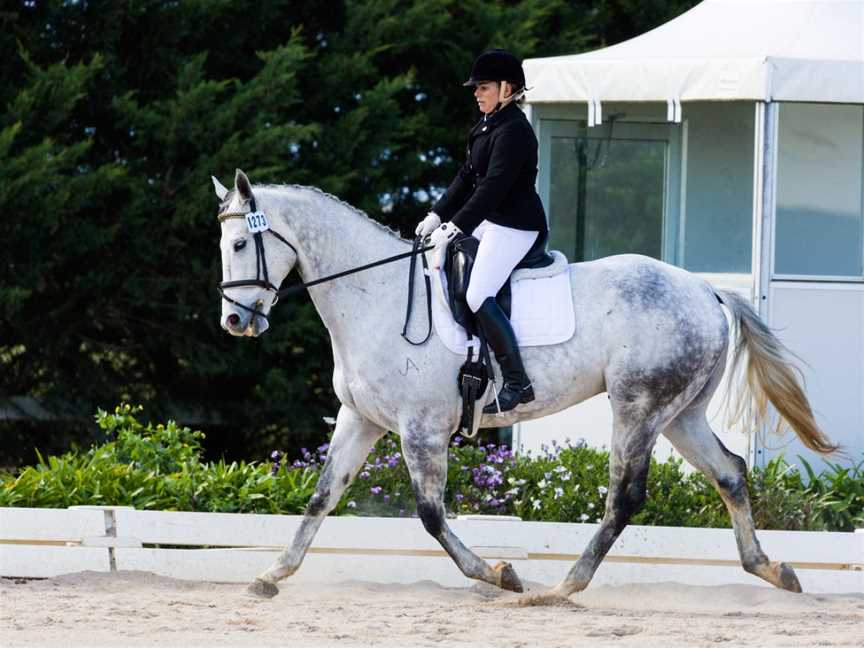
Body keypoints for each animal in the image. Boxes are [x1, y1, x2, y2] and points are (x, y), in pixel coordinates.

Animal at [213, 170, 832, 600]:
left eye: (241, 245)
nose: (235, 322)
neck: (377, 295)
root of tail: (705, 289)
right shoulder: (361, 419)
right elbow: (323, 496)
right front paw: (271, 574)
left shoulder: (421, 428)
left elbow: (431, 514)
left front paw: (500, 574)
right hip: (680, 414)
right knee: (729, 472)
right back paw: (772, 569)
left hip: (637, 407)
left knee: (624, 497)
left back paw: (563, 588)